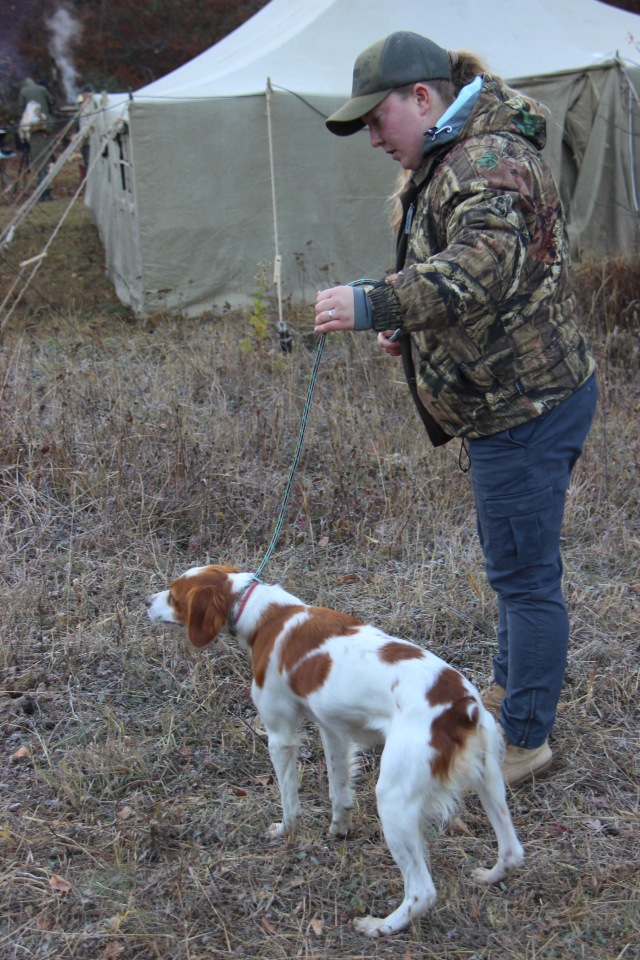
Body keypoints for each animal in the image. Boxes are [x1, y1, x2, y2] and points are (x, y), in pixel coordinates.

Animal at [145, 564, 524, 937]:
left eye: (173, 595)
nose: (147, 601)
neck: (267, 613)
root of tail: (461, 706)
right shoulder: (334, 731)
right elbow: (338, 791)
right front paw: (339, 828)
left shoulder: (280, 735)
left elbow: (289, 800)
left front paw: (286, 831)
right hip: (489, 781)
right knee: (512, 851)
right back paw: (489, 876)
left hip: (394, 799)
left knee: (422, 891)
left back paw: (382, 926)